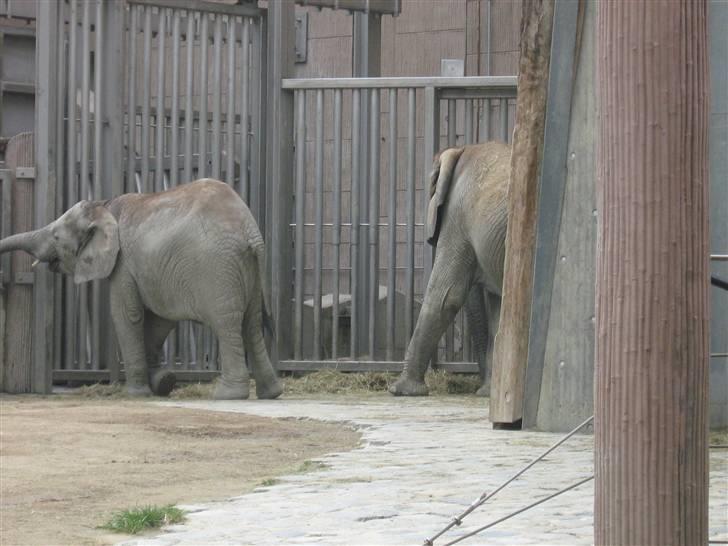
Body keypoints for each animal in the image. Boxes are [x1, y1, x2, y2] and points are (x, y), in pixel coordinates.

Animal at [0, 179, 283, 400]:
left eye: (57, 237)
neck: (103, 206)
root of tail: (250, 230)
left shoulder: (122, 262)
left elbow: (128, 315)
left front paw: (138, 393)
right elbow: (159, 320)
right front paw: (162, 382)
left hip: (217, 268)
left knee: (227, 324)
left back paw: (227, 395)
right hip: (248, 270)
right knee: (252, 324)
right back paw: (271, 393)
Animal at [390, 141, 510, 397]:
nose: (482, 386)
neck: (460, 150)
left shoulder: (457, 216)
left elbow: (446, 296)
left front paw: (400, 390)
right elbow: (499, 310)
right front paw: (488, 393)